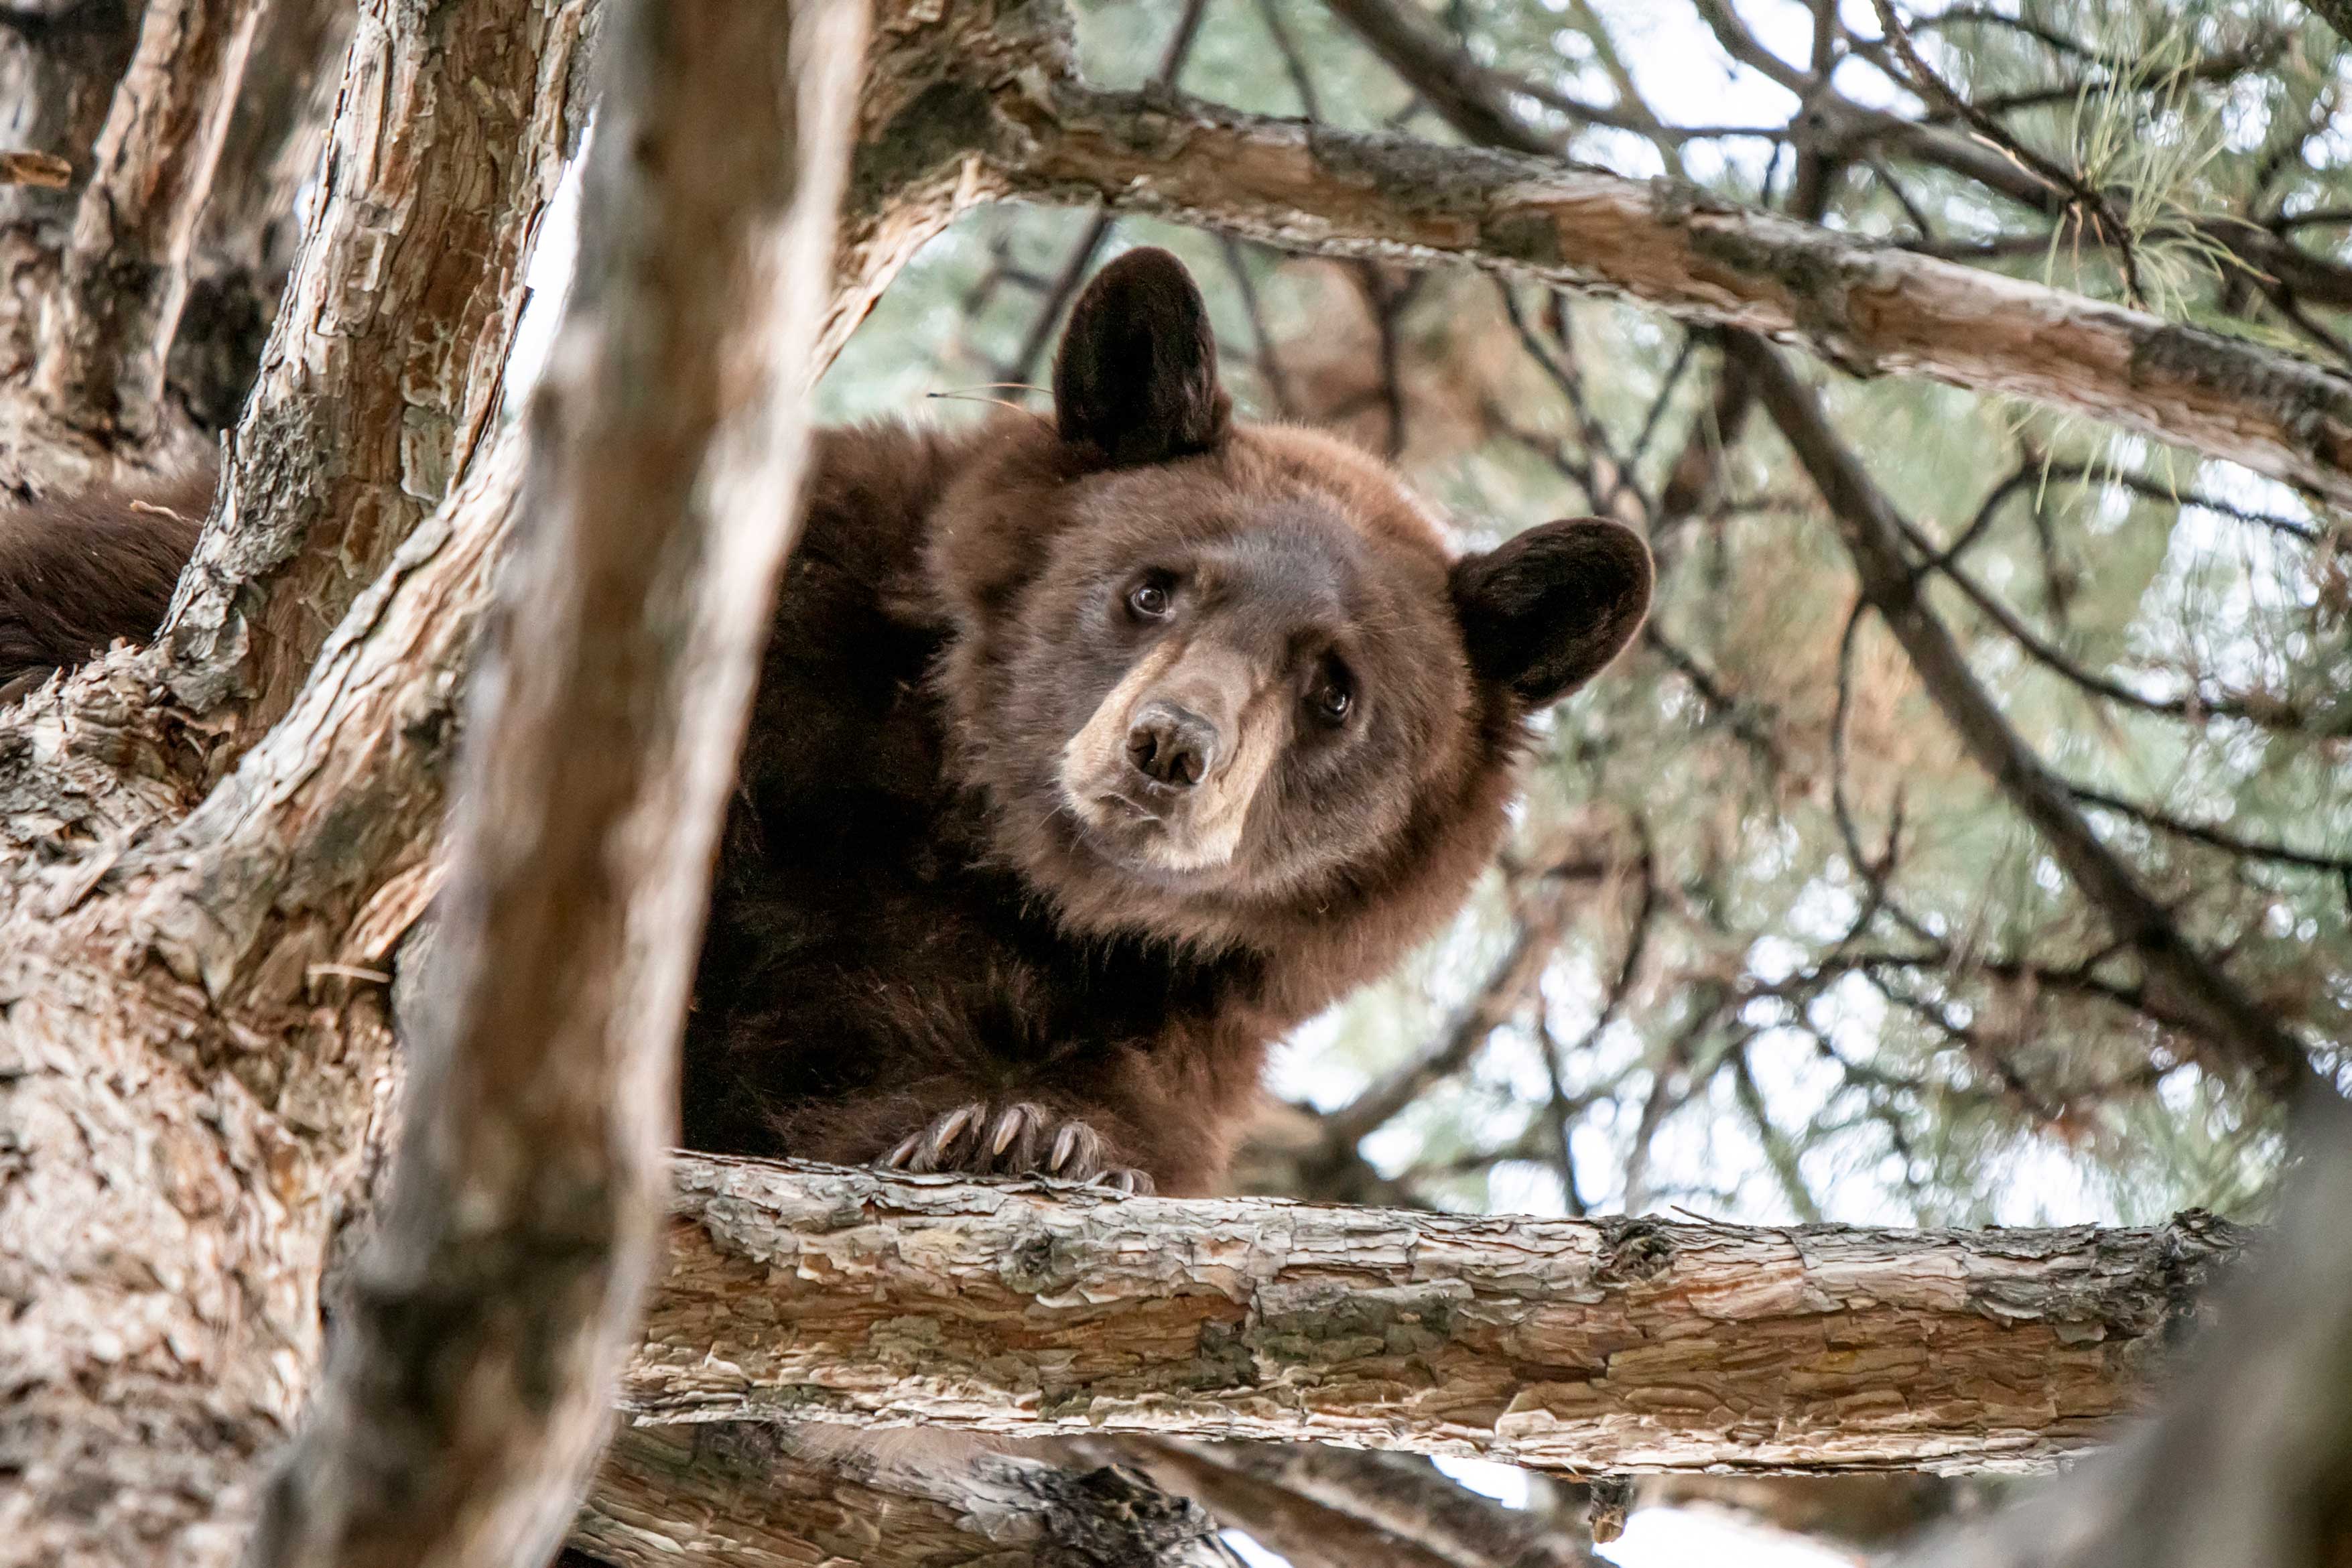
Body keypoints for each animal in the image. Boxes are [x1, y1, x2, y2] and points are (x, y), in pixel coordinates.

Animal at [0, 251, 1656, 1194]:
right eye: (1153, 586)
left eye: (1335, 689)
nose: (1169, 752)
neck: (974, 846)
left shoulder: (1167, 1027)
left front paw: (1019, 1135)